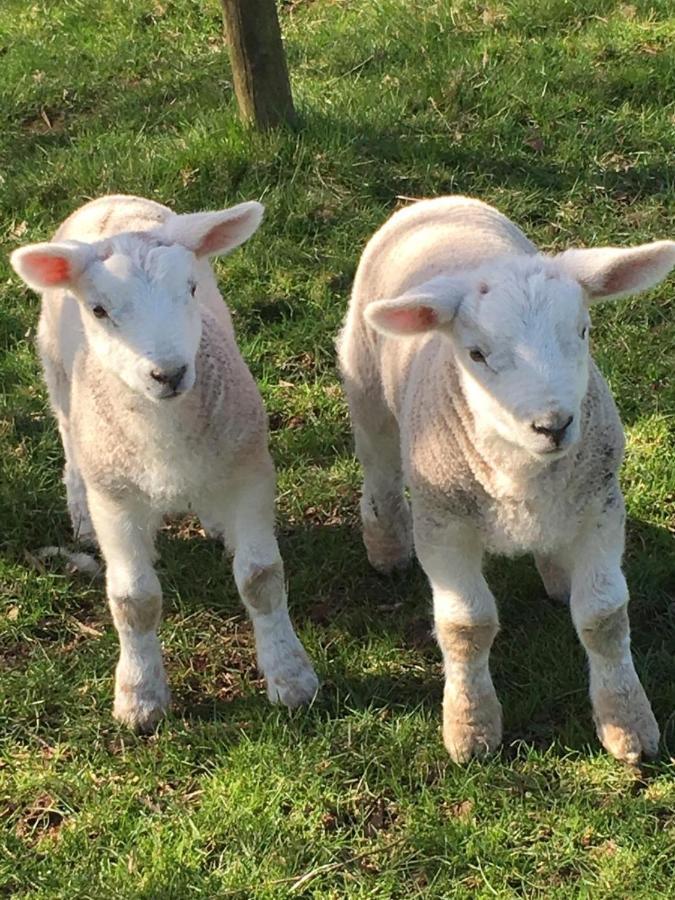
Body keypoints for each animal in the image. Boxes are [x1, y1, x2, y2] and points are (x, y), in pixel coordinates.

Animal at [8, 195, 320, 732]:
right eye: (99, 309)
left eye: (190, 288)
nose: (170, 373)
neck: (165, 437)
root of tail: (111, 198)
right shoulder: (117, 497)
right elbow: (134, 601)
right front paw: (140, 697)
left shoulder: (249, 471)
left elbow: (260, 578)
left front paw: (291, 676)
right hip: (58, 378)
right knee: (68, 439)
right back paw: (80, 515)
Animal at [338, 195, 675, 760]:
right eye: (476, 353)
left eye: (582, 331)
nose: (554, 425)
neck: (521, 472)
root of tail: (436, 200)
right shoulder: (443, 525)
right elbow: (466, 625)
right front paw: (471, 729)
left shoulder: (601, 506)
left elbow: (604, 618)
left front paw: (628, 726)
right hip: (367, 390)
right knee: (380, 472)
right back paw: (386, 548)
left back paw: (556, 573)